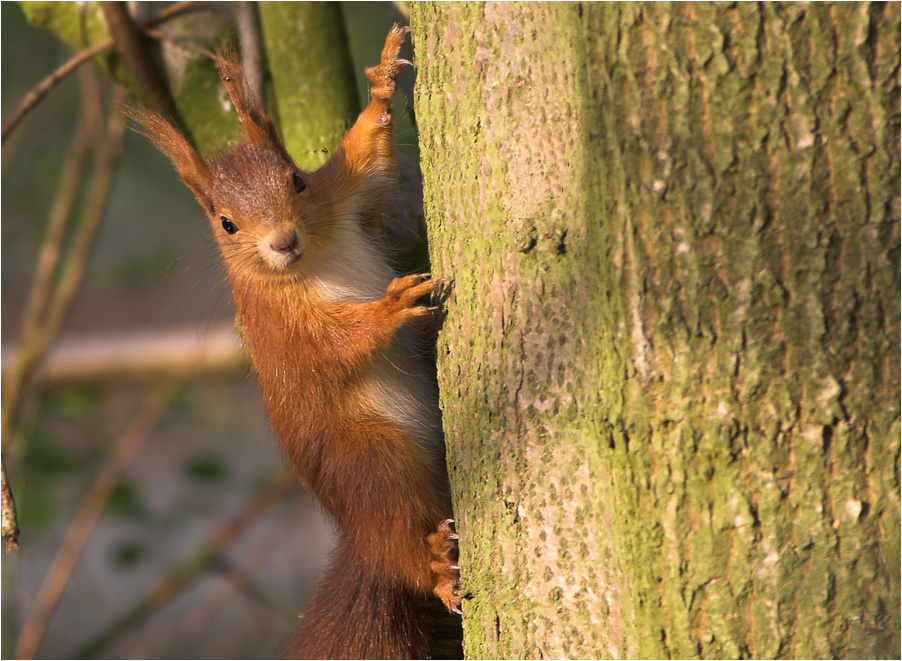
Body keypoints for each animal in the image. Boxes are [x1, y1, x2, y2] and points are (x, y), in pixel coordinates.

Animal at [125, 24, 460, 656]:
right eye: (226, 223)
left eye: (298, 181)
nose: (283, 241)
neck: (311, 262)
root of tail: (361, 544)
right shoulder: (278, 328)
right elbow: (331, 346)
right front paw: (387, 308)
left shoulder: (344, 194)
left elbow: (367, 158)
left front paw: (383, 81)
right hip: (368, 458)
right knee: (397, 528)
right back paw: (433, 567)